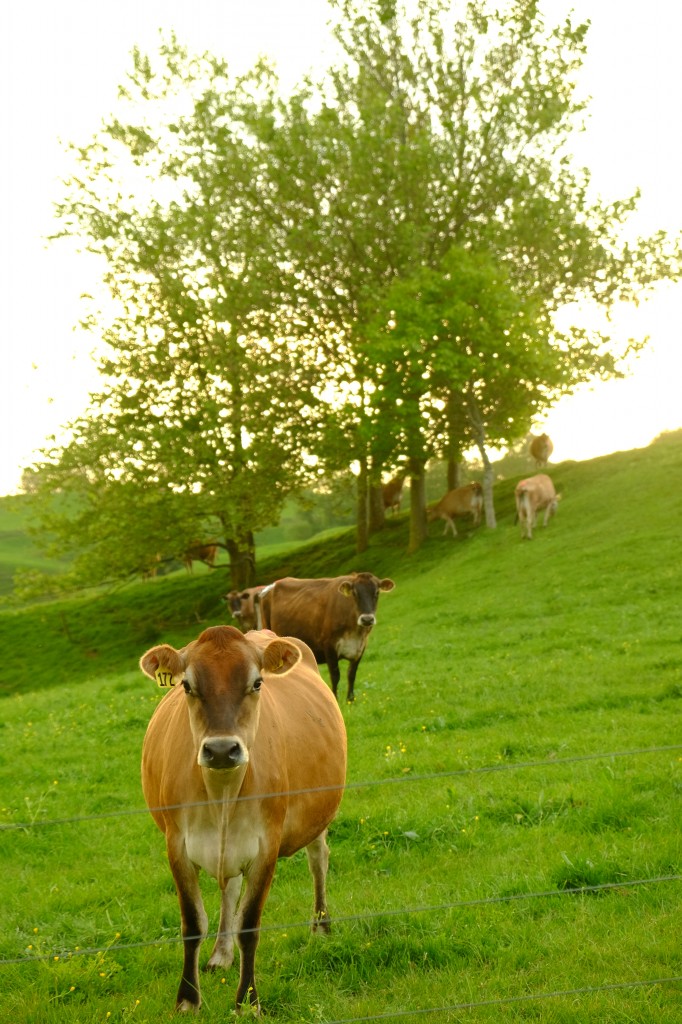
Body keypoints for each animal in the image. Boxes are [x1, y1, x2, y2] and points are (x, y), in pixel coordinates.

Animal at [141, 622, 348, 1015]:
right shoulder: (176, 845)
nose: (222, 749)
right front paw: (188, 999)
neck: (222, 794)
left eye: (257, 683)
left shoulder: (267, 845)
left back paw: (321, 926)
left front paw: (247, 1001)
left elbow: (249, 925)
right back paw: (221, 955)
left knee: (319, 860)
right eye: (186, 685)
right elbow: (193, 923)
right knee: (230, 887)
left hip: (318, 813)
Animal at [254, 569, 393, 704]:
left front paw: (350, 699)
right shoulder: (329, 645)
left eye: (377, 592)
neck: (355, 632)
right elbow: (335, 675)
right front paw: (335, 699)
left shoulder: (360, 647)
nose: (367, 619)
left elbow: (351, 674)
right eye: (354, 593)